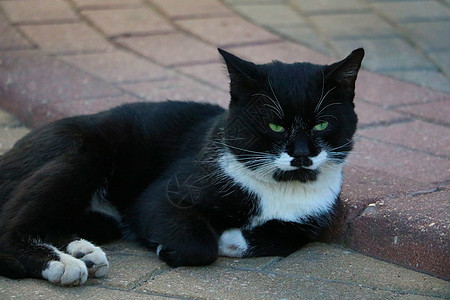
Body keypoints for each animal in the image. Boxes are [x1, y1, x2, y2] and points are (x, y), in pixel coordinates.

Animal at [0, 47, 362, 286]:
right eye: (275, 126)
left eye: (322, 124)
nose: (301, 154)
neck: (281, 185)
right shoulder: (164, 194)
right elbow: (198, 244)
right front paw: (170, 247)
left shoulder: (312, 217)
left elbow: (288, 235)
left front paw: (230, 239)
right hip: (85, 154)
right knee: (8, 226)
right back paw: (60, 263)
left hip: (100, 215)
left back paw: (84, 251)